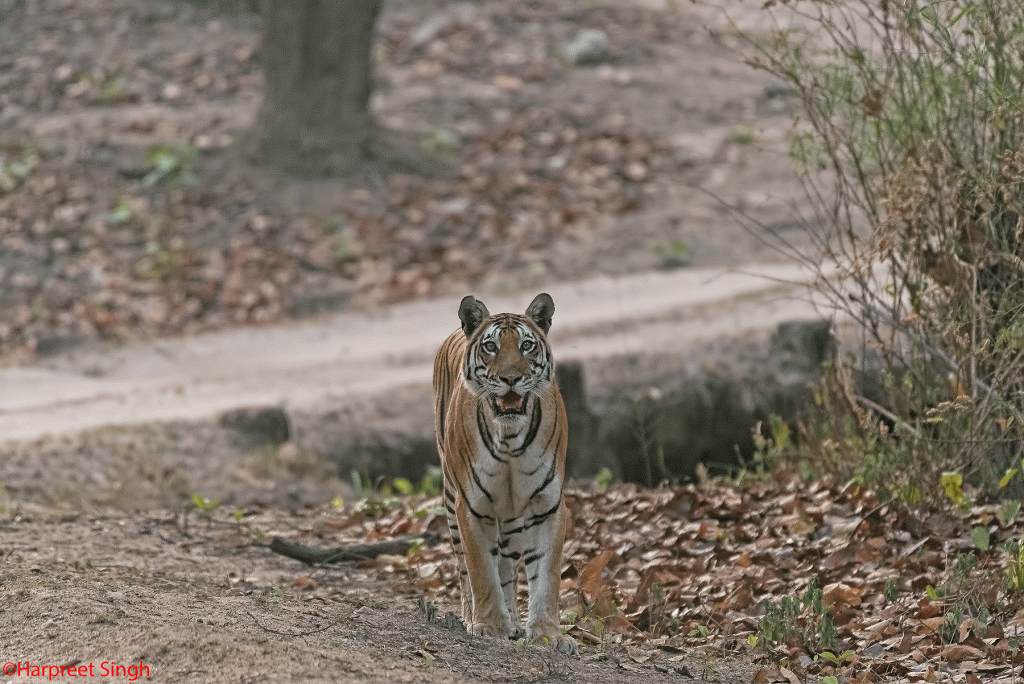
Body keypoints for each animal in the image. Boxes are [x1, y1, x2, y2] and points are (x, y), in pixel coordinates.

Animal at [430, 290, 577, 655]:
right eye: (491, 346)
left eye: (526, 346)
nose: (510, 379)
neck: (510, 438)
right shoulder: (470, 507)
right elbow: (481, 568)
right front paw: (489, 626)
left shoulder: (547, 505)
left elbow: (546, 574)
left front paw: (548, 634)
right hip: (450, 499)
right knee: (465, 569)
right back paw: (475, 618)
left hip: (511, 520)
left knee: (508, 566)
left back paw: (513, 619)